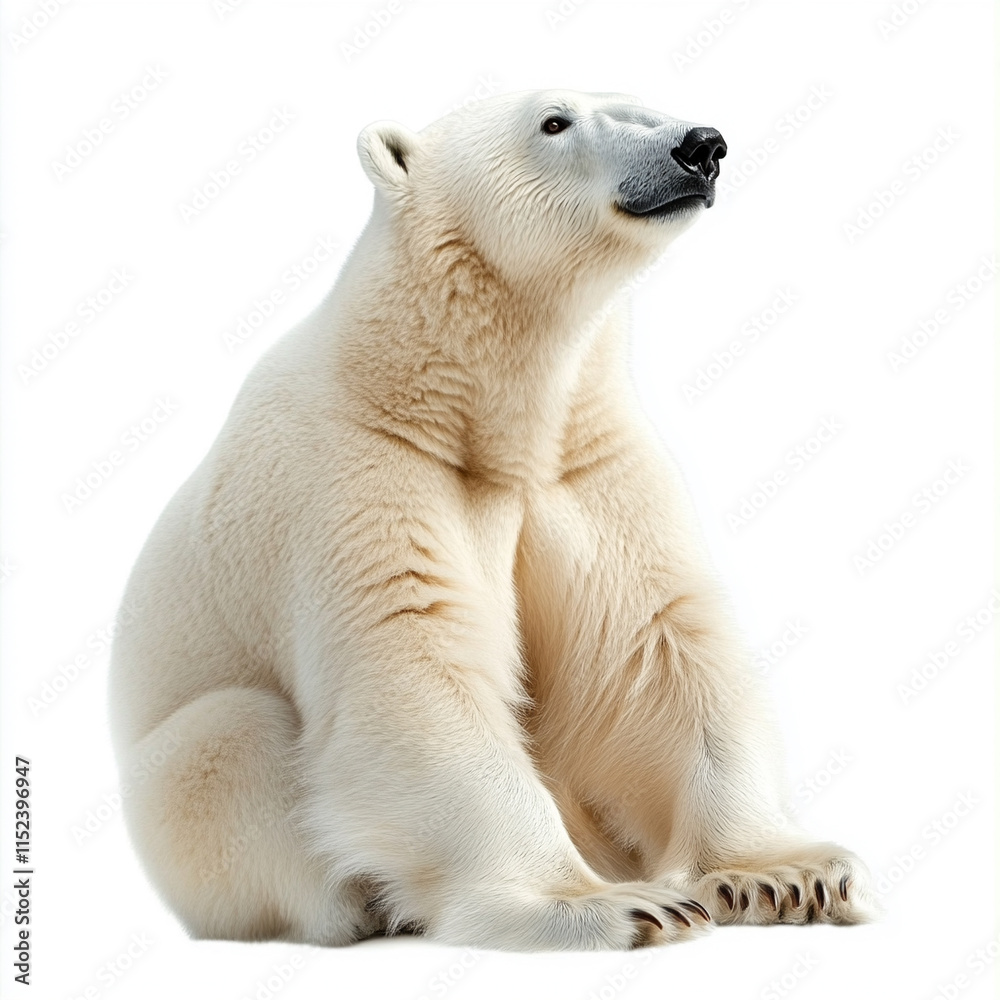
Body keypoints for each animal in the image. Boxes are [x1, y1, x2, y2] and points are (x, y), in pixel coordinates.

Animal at [108, 89, 878, 951]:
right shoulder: (357, 476)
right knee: (235, 733)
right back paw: (367, 902)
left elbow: (659, 651)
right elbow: (417, 676)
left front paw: (786, 873)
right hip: (177, 799)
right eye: (555, 120)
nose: (701, 146)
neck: (456, 403)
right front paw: (611, 904)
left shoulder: (584, 464)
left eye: (639, 102)